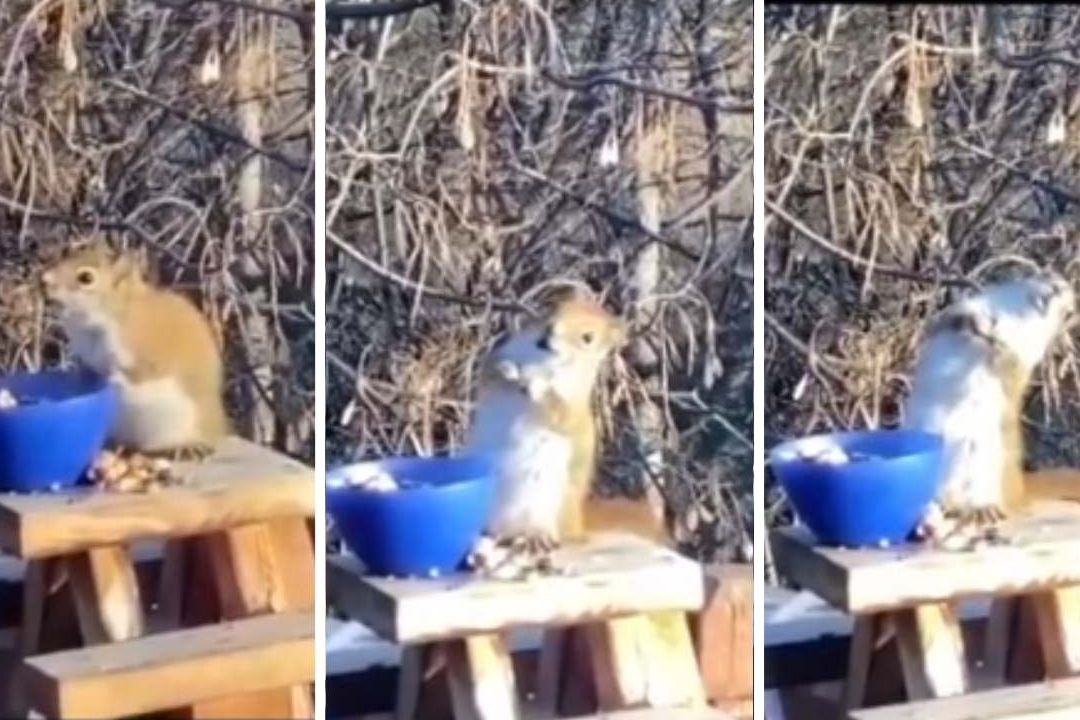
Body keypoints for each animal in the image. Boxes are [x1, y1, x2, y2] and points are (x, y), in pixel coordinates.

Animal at [42, 242, 230, 458]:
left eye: (86, 278)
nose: (43, 281)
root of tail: (216, 428)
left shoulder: (144, 349)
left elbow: (139, 372)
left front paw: (113, 379)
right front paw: (82, 375)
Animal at [465, 287, 666, 549]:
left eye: (587, 338)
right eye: (553, 307)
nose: (549, 333)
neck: (540, 360)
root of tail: (577, 526)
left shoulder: (573, 402)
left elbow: (559, 411)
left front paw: (536, 385)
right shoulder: (501, 355)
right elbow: (488, 373)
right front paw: (506, 370)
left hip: (547, 504)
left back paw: (536, 537)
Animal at [903, 272, 1076, 531]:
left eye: (1068, 312)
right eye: (1051, 278)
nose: (1061, 291)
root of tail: (1019, 487)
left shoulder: (1025, 353)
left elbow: (1011, 363)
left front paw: (998, 348)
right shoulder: (966, 308)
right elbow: (956, 318)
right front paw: (978, 326)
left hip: (987, 454)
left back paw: (983, 510)